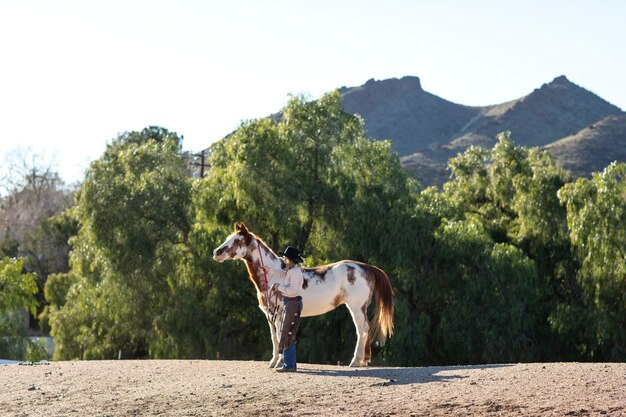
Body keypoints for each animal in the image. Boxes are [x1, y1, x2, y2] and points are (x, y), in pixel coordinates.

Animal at [212, 223, 392, 366]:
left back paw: (355, 361)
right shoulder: (269, 314)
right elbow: (274, 337)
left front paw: (280, 362)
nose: (216, 252)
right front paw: (273, 362)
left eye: (237, 240)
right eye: (229, 237)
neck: (274, 274)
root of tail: (366, 267)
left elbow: (280, 334)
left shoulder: (279, 313)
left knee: (362, 330)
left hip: (356, 308)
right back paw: (364, 361)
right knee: (365, 330)